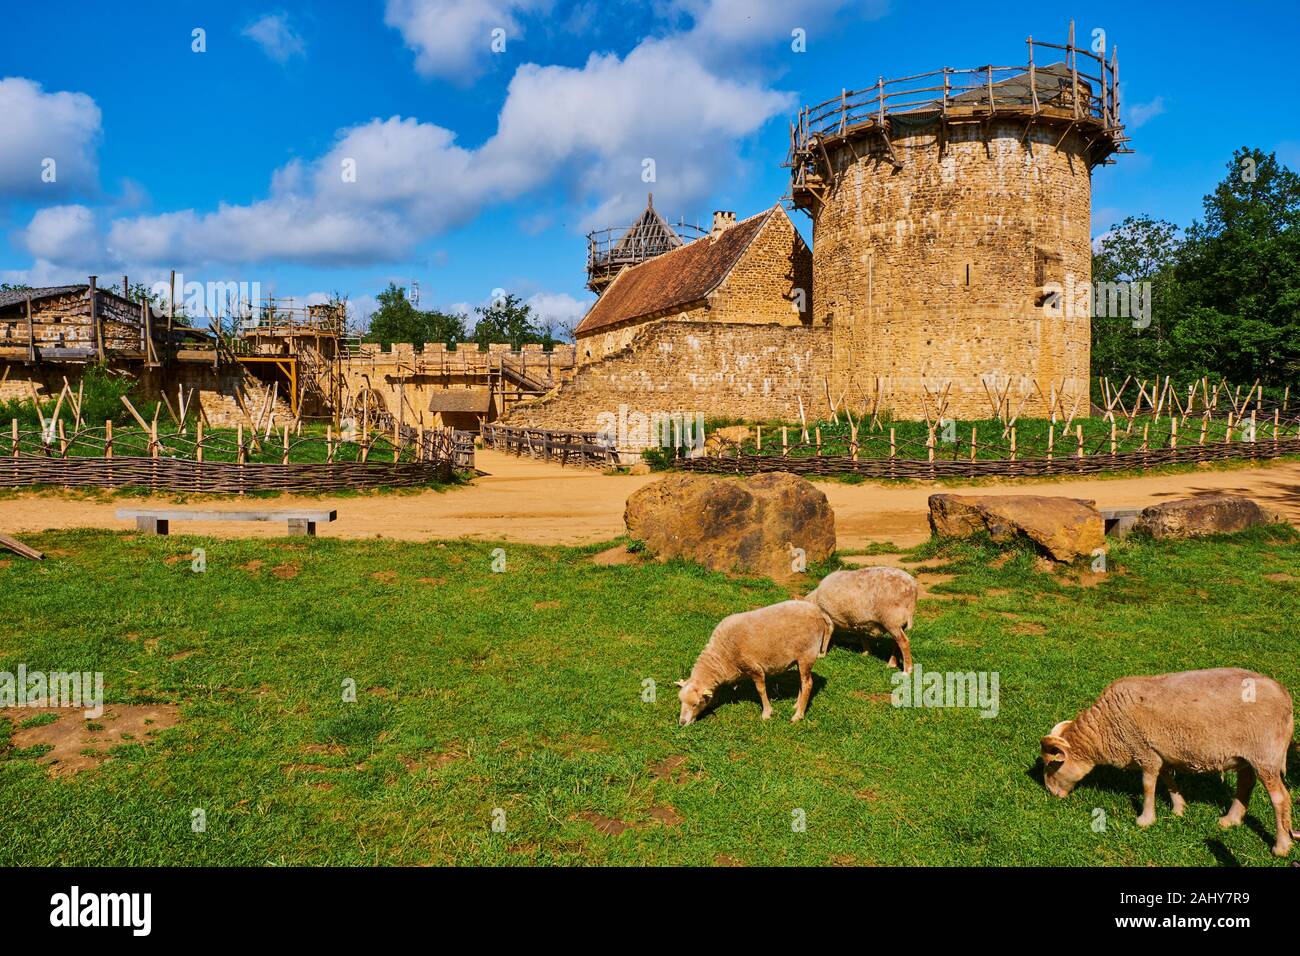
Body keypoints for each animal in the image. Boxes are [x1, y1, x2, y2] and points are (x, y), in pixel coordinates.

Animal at [681, 598, 832, 723]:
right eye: (680, 701)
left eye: (695, 704)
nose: (682, 723)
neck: (723, 653)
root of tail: (819, 612)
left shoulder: (754, 668)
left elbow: (760, 690)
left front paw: (767, 713)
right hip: (800, 659)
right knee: (802, 682)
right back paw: (796, 705)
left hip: (807, 655)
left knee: (808, 684)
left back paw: (798, 715)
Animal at [1040, 671, 1294, 858]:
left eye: (1052, 766)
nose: (1050, 793)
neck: (1105, 730)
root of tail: (1286, 698)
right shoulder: (1156, 751)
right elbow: (1167, 778)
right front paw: (1179, 808)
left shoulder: (1143, 750)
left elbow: (1147, 784)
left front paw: (1145, 820)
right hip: (1248, 756)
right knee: (1246, 783)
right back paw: (1230, 820)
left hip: (1266, 755)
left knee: (1280, 798)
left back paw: (1281, 847)